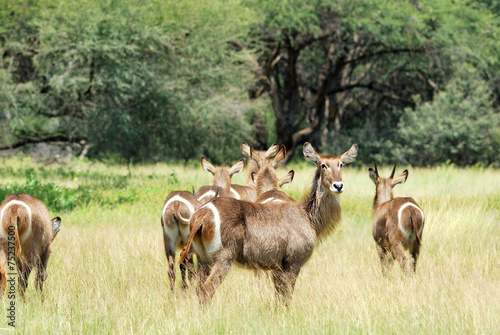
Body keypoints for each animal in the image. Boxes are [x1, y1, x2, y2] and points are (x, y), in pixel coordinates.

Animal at [178, 143, 358, 306]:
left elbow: (278, 296)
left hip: (203, 259)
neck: (308, 216)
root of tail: (202, 214)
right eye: (323, 165)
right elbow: (287, 297)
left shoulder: (277, 267)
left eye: (341, 164)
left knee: (198, 289)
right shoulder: (293, 263)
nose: (338, 185)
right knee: (206, 289)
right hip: (223, 258)